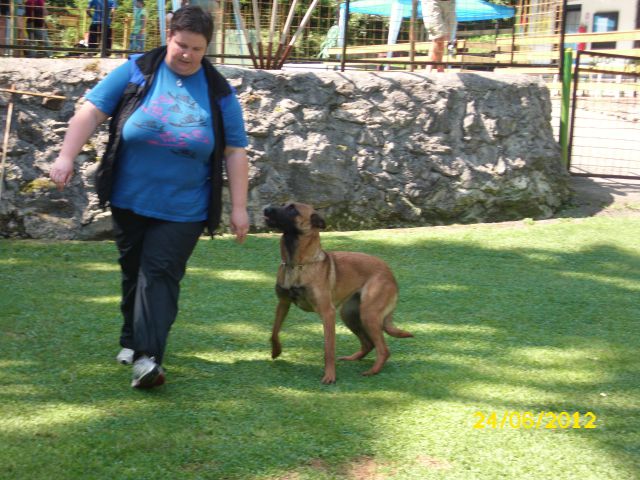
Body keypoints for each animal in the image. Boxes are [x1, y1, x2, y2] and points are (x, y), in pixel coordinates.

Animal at [262, 202, 412, 382]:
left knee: (383, 349)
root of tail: (389, 272)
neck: (297, 264)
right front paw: (276, 351)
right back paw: (353, 358)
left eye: (292, 209)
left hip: (368, 315)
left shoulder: (328, 313)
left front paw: (330, 376)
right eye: (283, 204)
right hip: (349, 314)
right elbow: (274, 331)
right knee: (368, 344)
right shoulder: (283, 303)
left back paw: (372, 371)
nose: (266, 208)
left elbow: (329, 349)